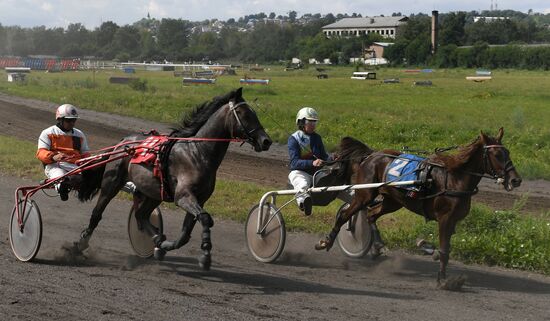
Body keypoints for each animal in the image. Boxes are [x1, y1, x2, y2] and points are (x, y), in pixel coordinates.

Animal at [74, 87, 272, 268]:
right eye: (243, 113)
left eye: (254, 113)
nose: (266, 141)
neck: (197, 153)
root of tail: (123, 142)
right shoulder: (183, 196)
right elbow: (206, 218)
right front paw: (205, 255)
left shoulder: (199, 198)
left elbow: (186, 233)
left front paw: (166, 245)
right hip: (112, 183)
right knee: (97, 213)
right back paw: (81, 243)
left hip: (154, 193)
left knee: (140, 215)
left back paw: (157, 240)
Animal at [316, 129, 524, 286]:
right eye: (497, 154)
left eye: (508, 153)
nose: (516, 180)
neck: (455, 179)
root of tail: (372, 154)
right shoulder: (445, 218)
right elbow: (444, 250)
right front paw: (443, 279)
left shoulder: (454, 220)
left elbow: (444, 248)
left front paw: (428, 249)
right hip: (365, 194)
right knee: (345, 215)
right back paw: (327, 241)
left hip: (393, 200)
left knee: (371, 215)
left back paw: (377, 247)